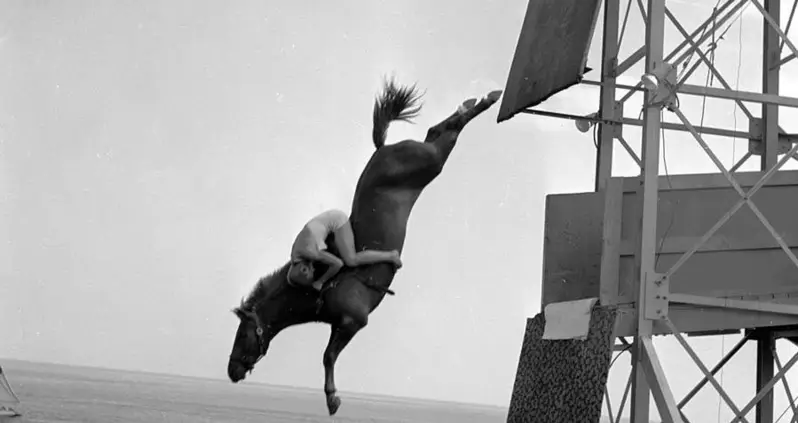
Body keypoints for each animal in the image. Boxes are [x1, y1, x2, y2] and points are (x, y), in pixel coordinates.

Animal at [227, 78, 502, 416]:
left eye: (243, 334)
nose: (231, 370)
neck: (322, 285)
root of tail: (383, 149)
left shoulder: (352, 322)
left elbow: (328, 357)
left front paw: (332, 398)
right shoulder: (340, 324)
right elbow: (328, 355)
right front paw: (331, 396)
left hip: (430, 162)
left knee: (447, 133)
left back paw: (485, 100)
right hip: (426, 159)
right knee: (436, 130)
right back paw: (473, 101)